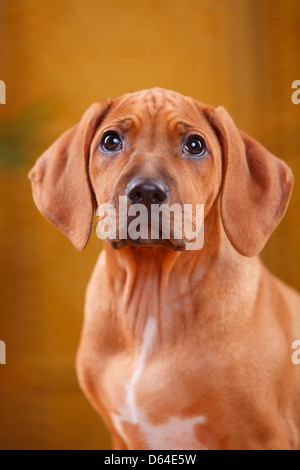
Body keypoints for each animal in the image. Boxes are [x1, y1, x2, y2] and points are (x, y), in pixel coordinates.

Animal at [28, 86, 300, 450]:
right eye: (110, 140)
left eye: (195, 145)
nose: (146, 191)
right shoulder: (123, 438)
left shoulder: (264, 437)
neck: (151, 299)